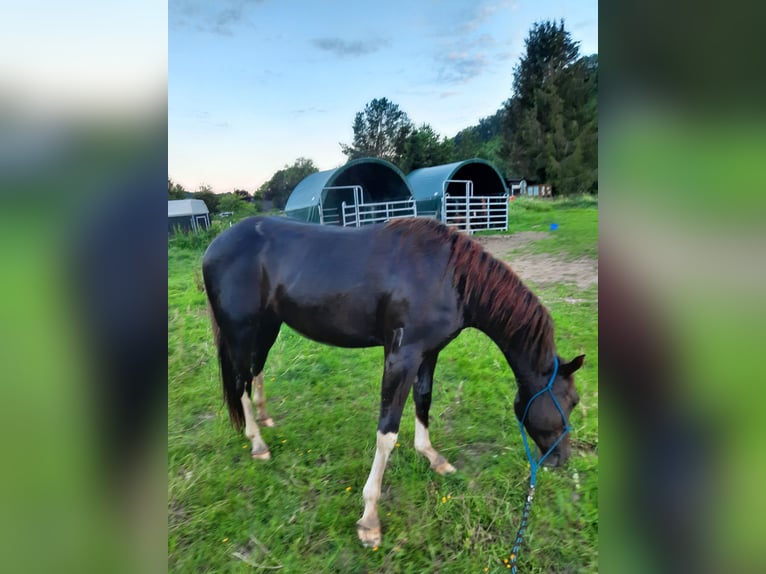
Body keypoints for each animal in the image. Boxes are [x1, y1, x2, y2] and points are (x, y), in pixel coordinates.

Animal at [201, 216, 584, 548]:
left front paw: (432, 456)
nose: (561, 459)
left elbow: (424, 401)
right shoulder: (402, 356)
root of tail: (215, 245)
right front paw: (370, 519)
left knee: (255, 373)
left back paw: (265, 418)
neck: (448, 276)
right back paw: (257, 443)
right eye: (572, 402)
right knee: (240, 383)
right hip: (241, 331)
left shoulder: (428, 353)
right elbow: (387, 433)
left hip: (268, 326)